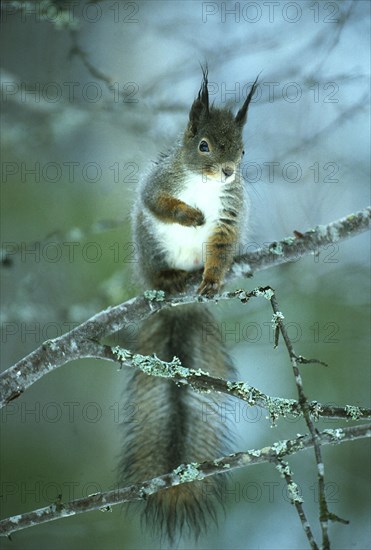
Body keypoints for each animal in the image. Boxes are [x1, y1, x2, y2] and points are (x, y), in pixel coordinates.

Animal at [121, 67, 258, 544]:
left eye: (242, 149)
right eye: (203, 146)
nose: (229, 172)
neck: (203, 187)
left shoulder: (230, 215)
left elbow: (220, 245)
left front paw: (213, 277)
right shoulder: (159, 184)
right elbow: (159, 203)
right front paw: (189, 217)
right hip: (151, 251)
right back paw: (171, 279)